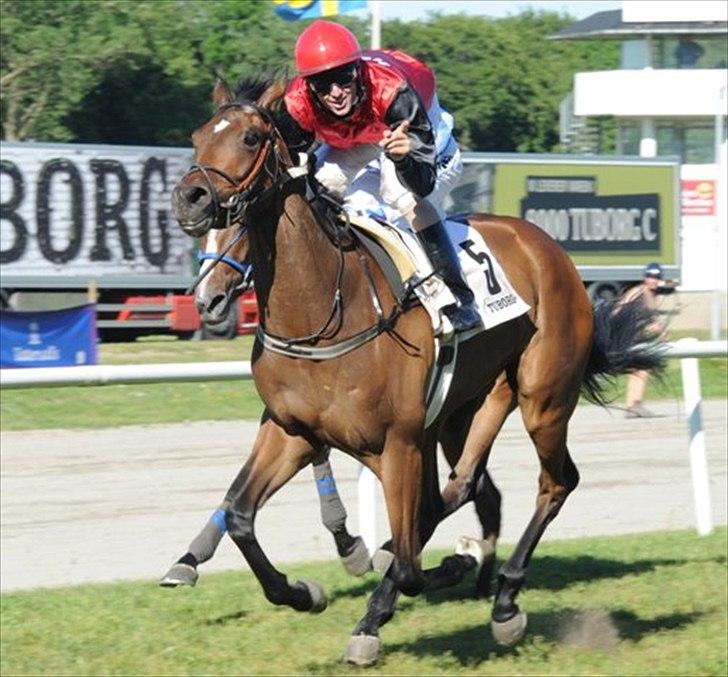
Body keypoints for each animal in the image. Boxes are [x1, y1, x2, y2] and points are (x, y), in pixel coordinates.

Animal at [171, 79, 664, 664]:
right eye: (198, 135)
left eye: (249, 137)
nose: (191, 198)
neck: (323, 309)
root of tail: (548, 247)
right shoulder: (293, 429)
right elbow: (241, 516)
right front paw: (303, 591)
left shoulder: (399, 441)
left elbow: (408, 566)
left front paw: (414, 582)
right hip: (464, 412)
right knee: (468, 484)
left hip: (542, 399)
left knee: (553, 482)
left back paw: (504, 599)